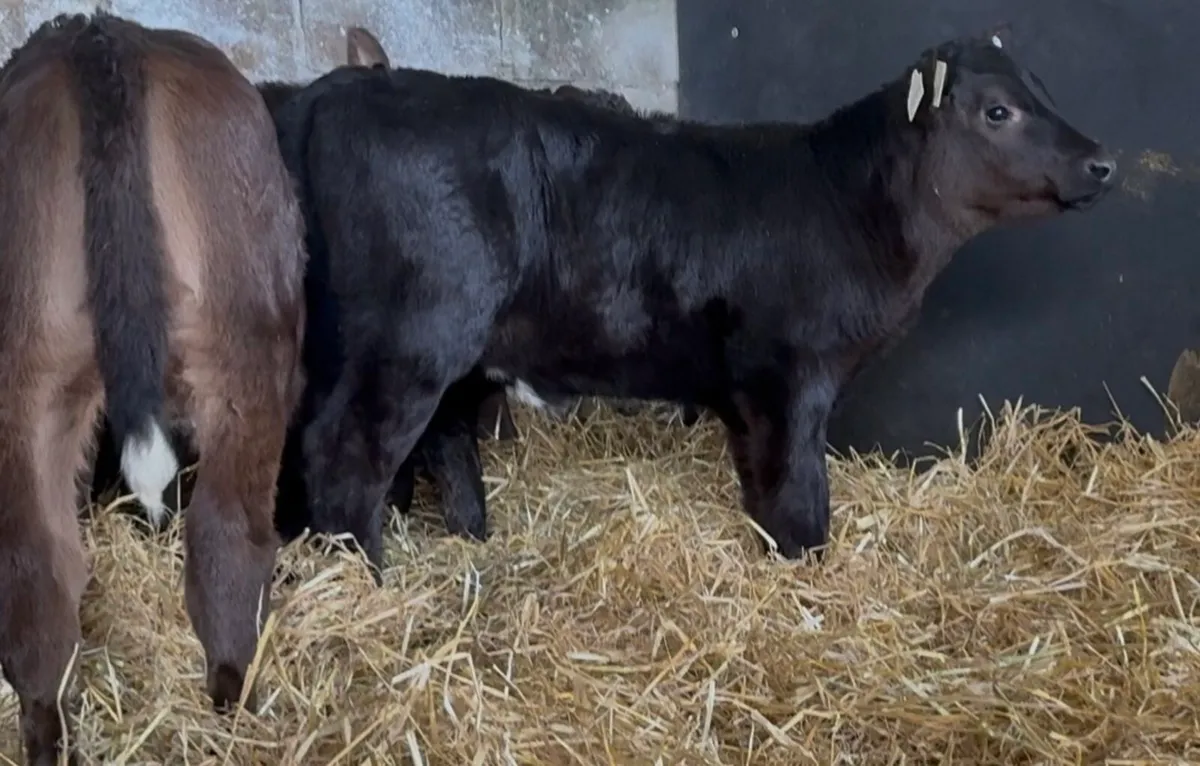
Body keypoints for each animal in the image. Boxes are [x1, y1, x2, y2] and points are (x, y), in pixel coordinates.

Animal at [0, 12, 307, 765]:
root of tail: (100, 37)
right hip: (251, 360)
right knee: (229, 541)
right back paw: (233, 708)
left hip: (29, 381)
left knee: (37, 576)